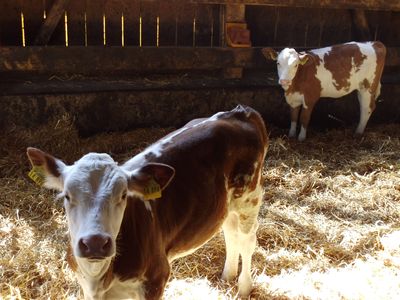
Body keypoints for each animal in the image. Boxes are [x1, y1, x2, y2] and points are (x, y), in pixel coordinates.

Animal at [25, 105, 268, 300]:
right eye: (67, 195)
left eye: (123, 195)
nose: (94, 243)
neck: (99, 276)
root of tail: (241, 111)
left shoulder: (156, 278)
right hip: (227, 205)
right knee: (230, 233)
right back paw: (227, 276)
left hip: (250, 198)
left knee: (246, 241)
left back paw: (243, 288)